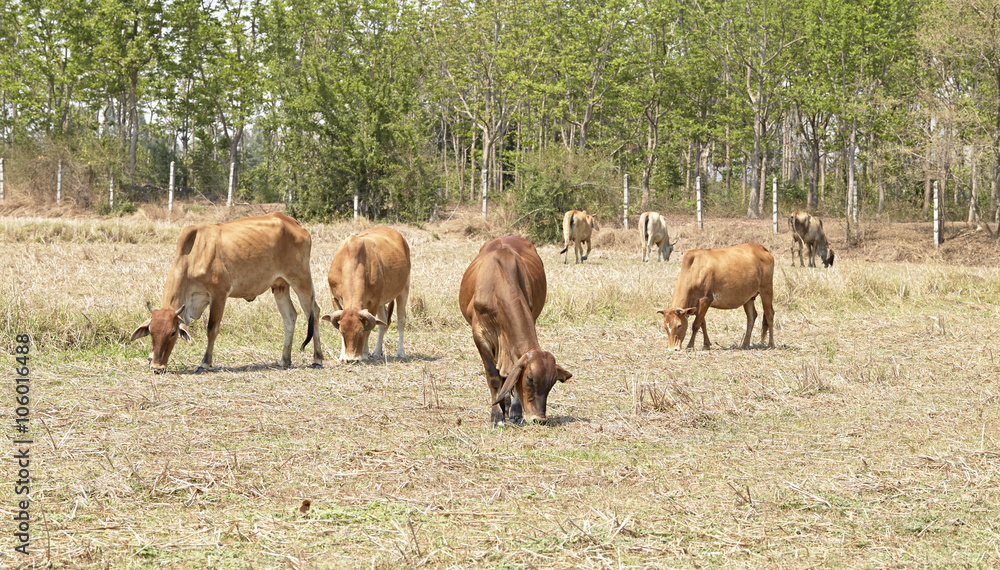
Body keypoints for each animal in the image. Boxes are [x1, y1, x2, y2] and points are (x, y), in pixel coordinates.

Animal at [131, 212, 323, 373]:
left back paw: (317, 359)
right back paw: (285, 360)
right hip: (280, 285)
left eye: (172, 332)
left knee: (313, 312)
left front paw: (205, 363)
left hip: (301, 279)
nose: (157, 367)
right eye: (151, 331)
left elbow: (212, 329)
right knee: (290, 316)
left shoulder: (219, 295)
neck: (194, 255)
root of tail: (294, 222)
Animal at [323, 226, 410, 362]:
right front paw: (343, 355)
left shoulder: (373, 301)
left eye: (360, 331)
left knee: (401, 320)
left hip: (404, 289)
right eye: (342, 332)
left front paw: (363, 353)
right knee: (383, 322)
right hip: (382, 301)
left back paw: (400, 352)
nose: (351, 359)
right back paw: (377, 351)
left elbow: (370, 329)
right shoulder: (335, 297)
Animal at [460, 235, 572, 425]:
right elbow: (494, 377)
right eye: (530, 378)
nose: (538, 418)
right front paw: (497, 416)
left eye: (552, 383)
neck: (498, 283)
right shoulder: (480, 335)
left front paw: (515, 413)